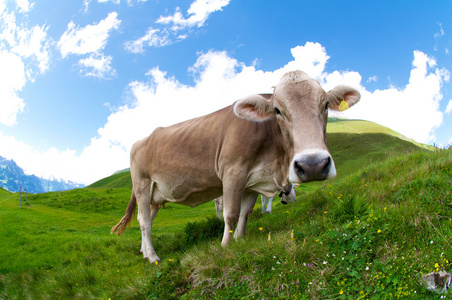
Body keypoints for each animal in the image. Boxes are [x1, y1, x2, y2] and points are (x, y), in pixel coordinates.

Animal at [112, 70, 360, 262]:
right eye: (278, 110)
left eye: (325, 104)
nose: (313, 165)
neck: (276, 162)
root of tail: (140, 141)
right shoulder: (232, 173)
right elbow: (230, 214)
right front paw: (225, 247)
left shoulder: (253, 181)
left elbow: (245, 213)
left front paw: (240, 241)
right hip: (142, 184)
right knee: (144, 222)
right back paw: (152, 256)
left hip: (155, 194)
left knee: (147, 220)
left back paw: (144, 251)